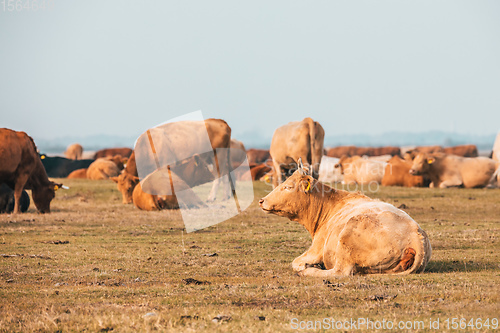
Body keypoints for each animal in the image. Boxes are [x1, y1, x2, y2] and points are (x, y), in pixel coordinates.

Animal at [260, 159, 432, 278]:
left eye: (288, 186)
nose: (262, 200)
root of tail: (415, 234)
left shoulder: (317, 248)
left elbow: (296, 262)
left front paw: (308, 266)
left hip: (348, 239)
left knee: (340, 272)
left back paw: (310, 271)